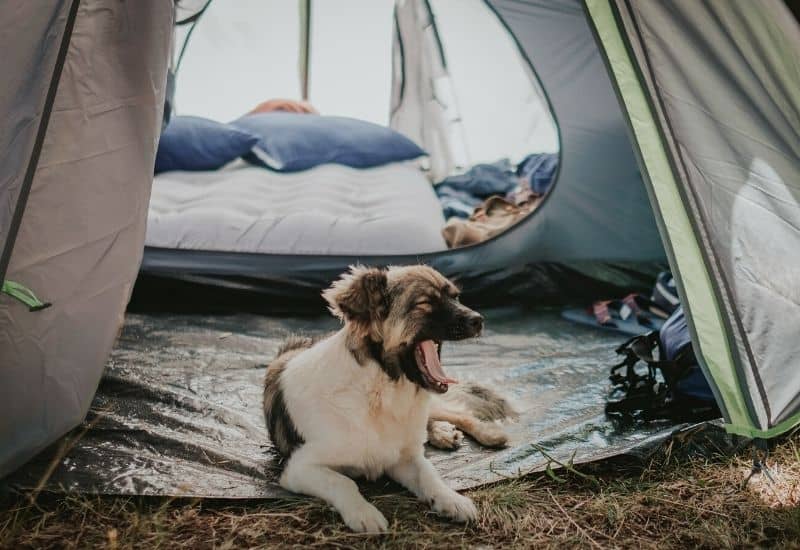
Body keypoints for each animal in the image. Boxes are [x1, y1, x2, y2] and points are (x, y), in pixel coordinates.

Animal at [262, 268, 512, 536]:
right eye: (425, 303)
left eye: (455, 297)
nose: (479, 320)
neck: (381, 391)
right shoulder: (299, 467)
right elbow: (342, 481)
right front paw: (364, 513)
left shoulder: (405, 459)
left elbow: (430, 474)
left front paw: (451, 499)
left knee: (454, 412)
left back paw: (482, 433)